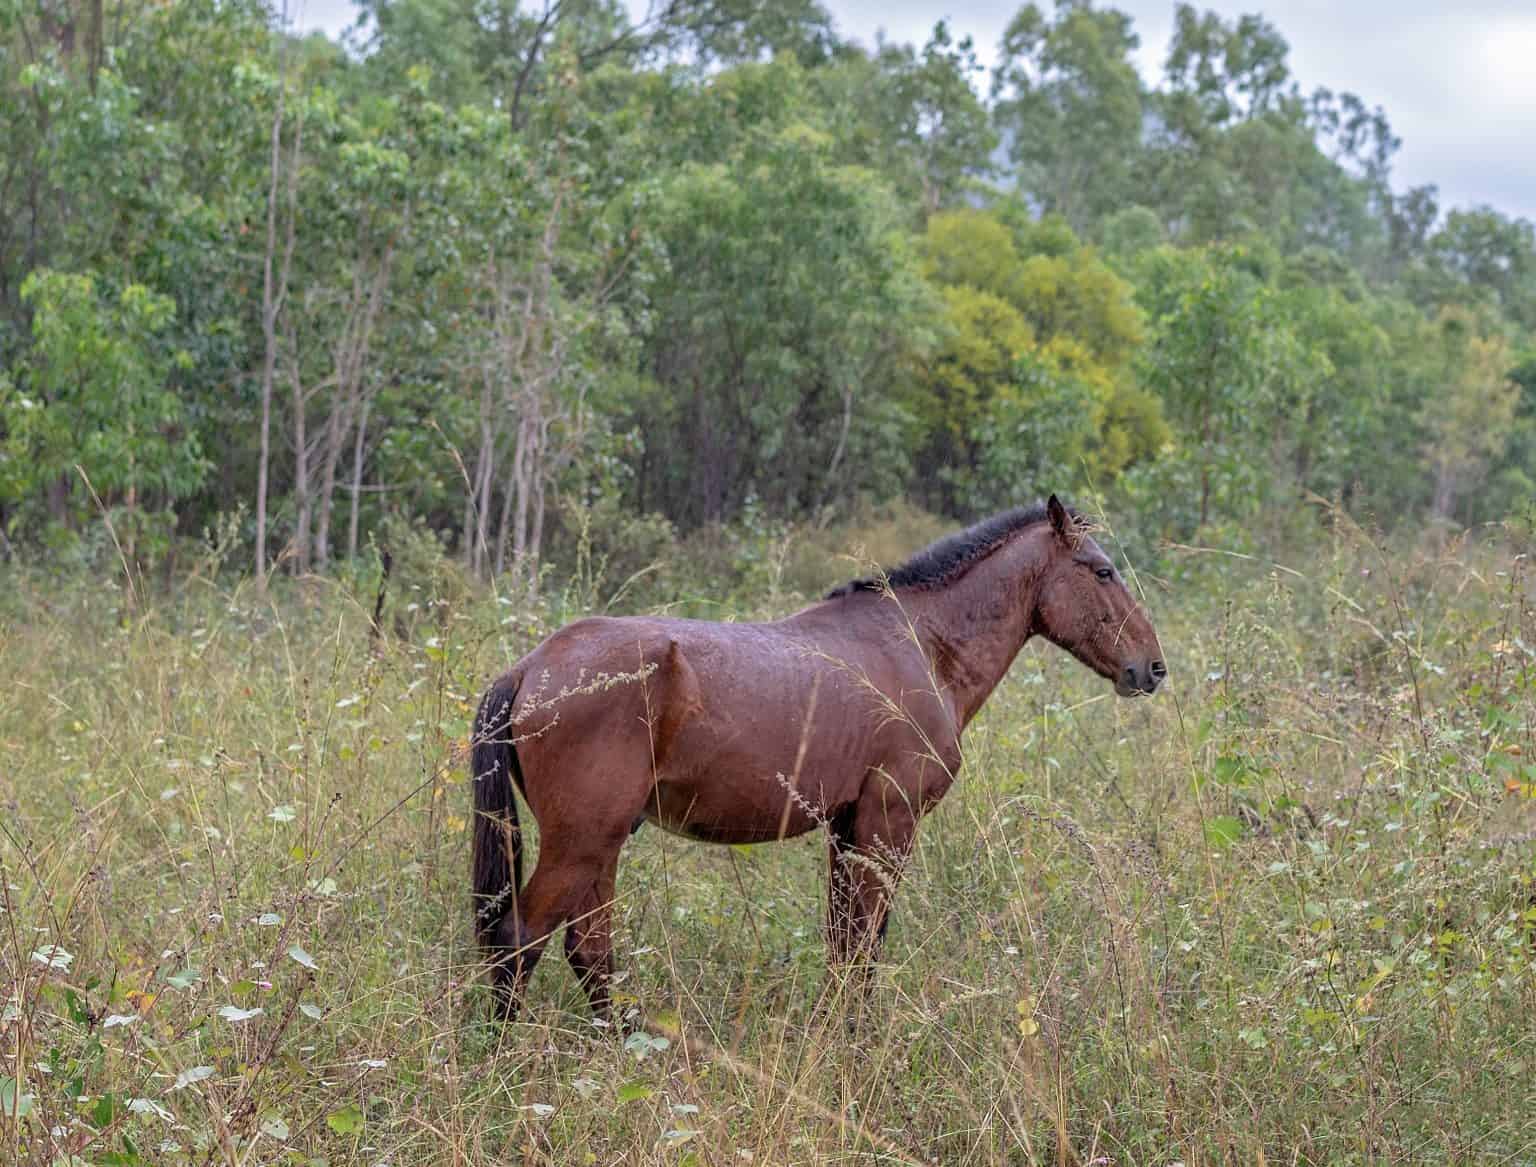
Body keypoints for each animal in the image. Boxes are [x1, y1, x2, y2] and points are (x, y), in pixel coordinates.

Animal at [470, 495, 1166, 1020]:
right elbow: (864, 944)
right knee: (520, 941)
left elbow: (843, 944)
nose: (1151, 668)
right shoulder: (888, 823)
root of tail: (531, 667)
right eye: (1101, 571)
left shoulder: (847, 827)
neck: (921, 642)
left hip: (602, 844)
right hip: (582, 843)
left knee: (589, 949)